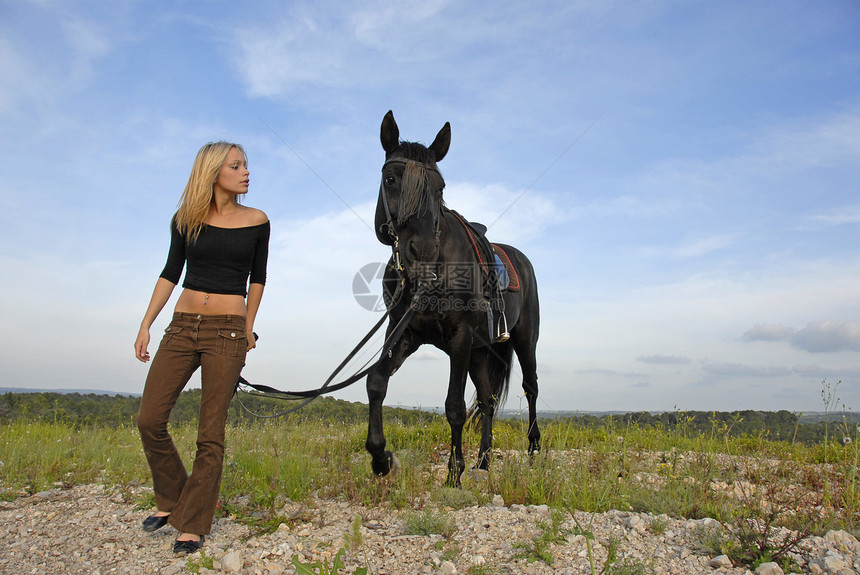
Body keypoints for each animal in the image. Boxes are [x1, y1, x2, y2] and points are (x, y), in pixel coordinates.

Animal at [366, 111, 540, 486]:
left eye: (440, 188)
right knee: (488, 400)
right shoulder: (404, 333)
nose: (422, 250)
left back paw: (534, 450)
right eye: (390, 178)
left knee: (531, 387)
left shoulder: (459, 337)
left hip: (524, 339)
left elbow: (454, 407)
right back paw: (484, 461)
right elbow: (376, 382)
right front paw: (381, 459)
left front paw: (453, 473)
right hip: (480, 352)